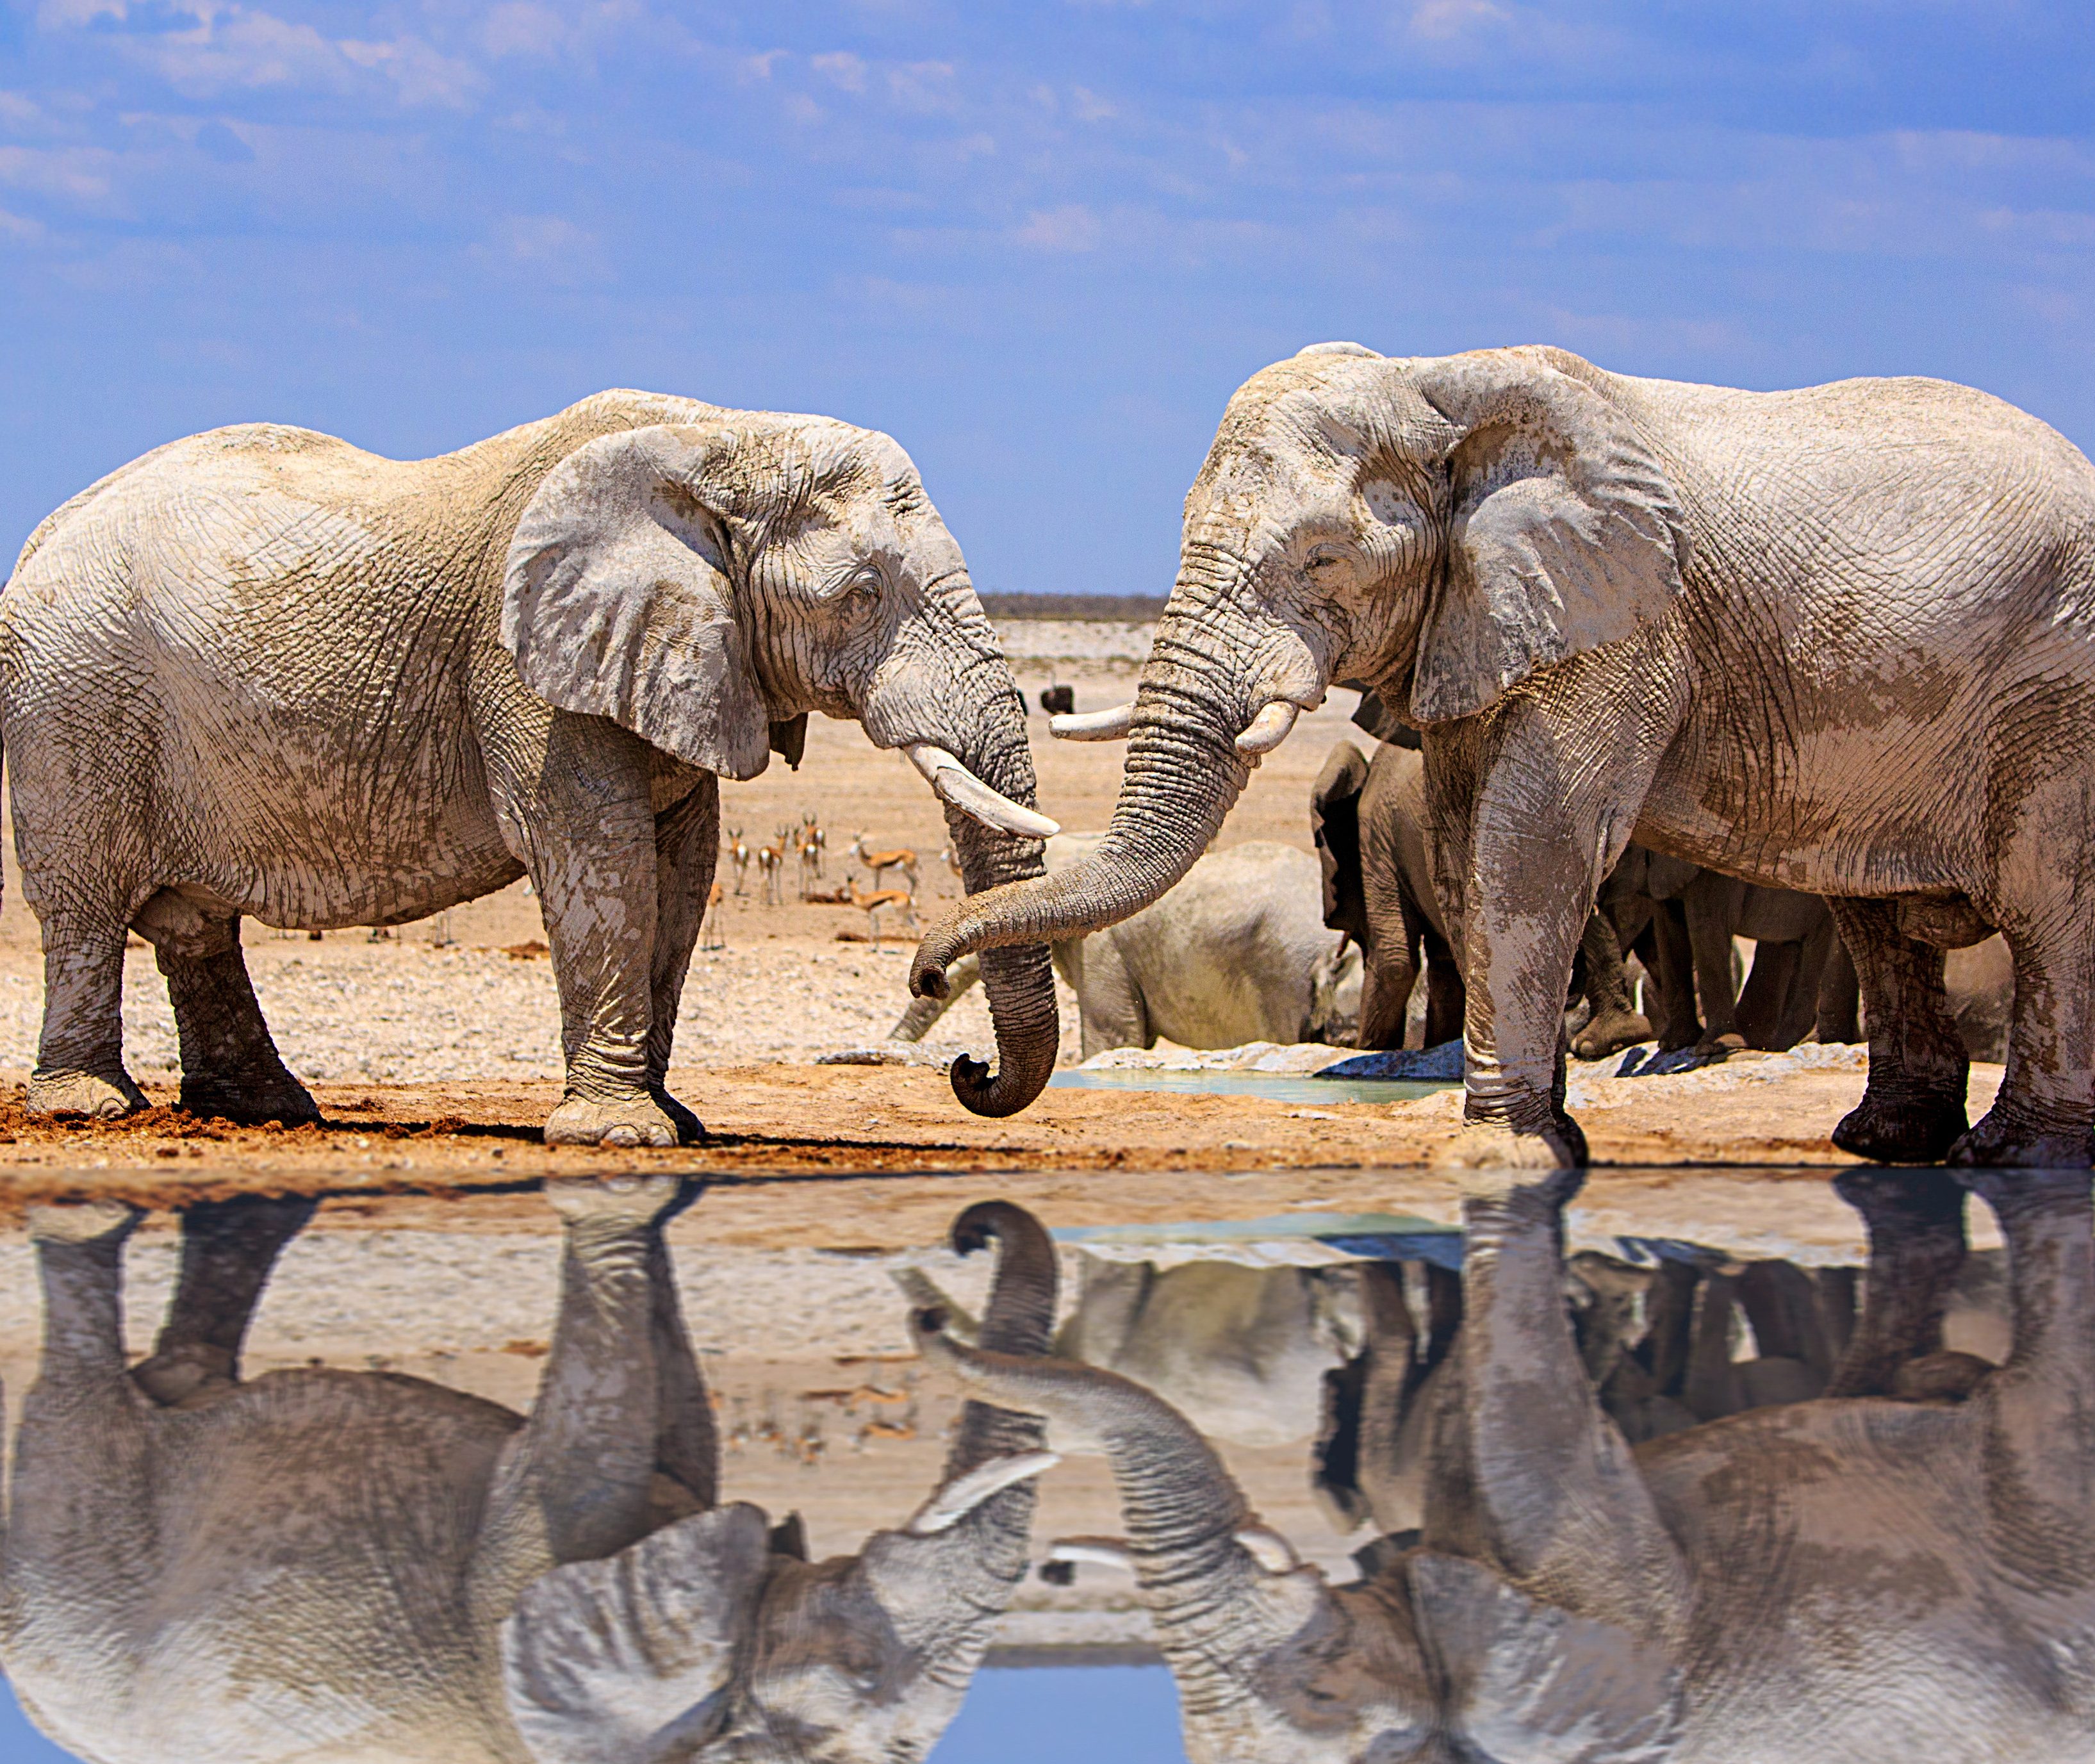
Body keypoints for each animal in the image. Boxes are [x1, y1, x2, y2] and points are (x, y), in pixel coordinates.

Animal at [0, 391, 1058, 1146]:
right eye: (862, 594)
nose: (969, 1069)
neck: (719, 437)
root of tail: (45, 529)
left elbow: (680, 873)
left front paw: (674, 1124)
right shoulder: (522, 668)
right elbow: (600, 859)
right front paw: (617, 1136)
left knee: (195, 925)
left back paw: (261, 1110)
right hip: (71, 701)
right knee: (84, 908)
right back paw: (89, 1107)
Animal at [1, 1184, 1062, 1763]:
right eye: (859, 1675)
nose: (970, 1230)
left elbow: (654, 1434)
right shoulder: (513, 1585)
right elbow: (615, 1437)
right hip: (79, 1583)